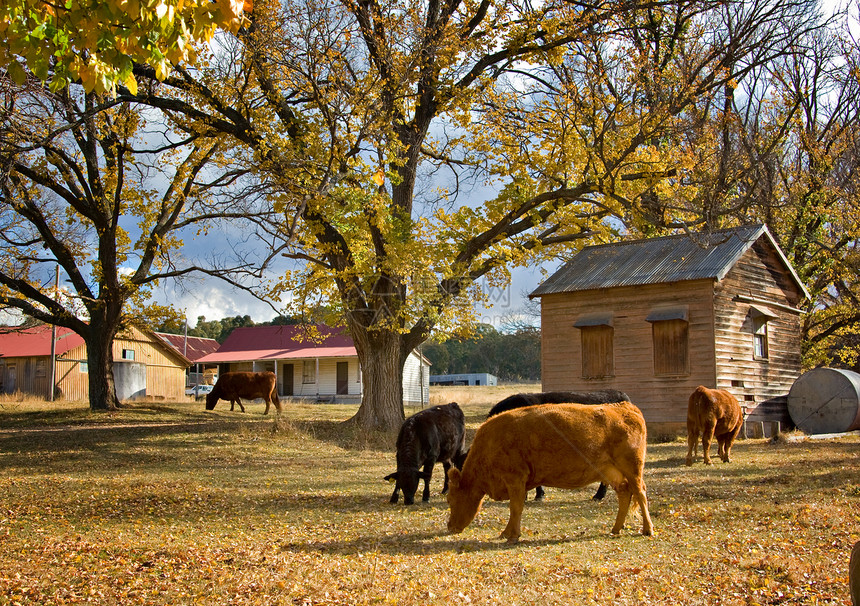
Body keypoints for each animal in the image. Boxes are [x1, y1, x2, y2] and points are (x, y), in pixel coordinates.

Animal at [444, 404, 652, 548]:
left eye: (451, 500)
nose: (450, 526)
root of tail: (625, 406)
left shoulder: (515, 479)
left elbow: (516, 508)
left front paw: (512, 535)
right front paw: (507, 533)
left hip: (633, 468)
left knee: (640, 493)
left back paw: (647, 529)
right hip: (612, 473)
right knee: (625, 494)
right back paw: (616, 528)